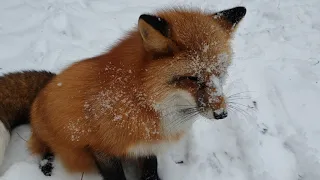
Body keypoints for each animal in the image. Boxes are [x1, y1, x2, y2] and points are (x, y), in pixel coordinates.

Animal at [0, 5, 246, 180]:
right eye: (192, 78)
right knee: (43, 148)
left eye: (221, 72)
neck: (140, 102)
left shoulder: (147, 145)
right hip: (58, 139)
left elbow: (150, 171)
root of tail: (49, 82)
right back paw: (47, 165)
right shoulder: (101, 149)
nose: (222, 114)